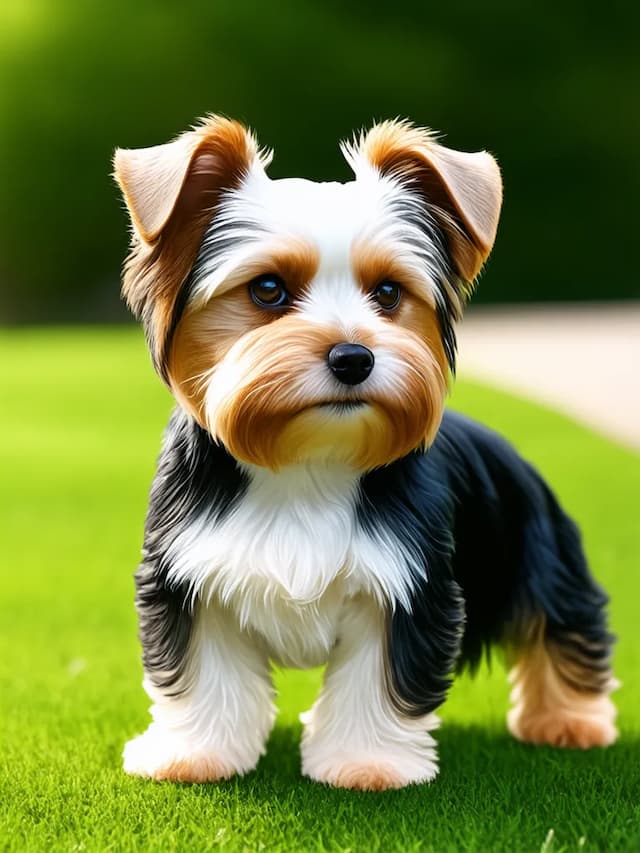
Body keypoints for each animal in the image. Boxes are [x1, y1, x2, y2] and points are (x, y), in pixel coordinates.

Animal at [112, 116, 616, 788]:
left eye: (388, 292)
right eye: (268, 290)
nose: (354, 357)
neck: (307, 461)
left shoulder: (407, 583)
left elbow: (377, 680)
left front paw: (365, 763)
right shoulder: (189, 572)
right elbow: (202, 671)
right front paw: (194, 755)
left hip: (537, 543)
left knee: (561, 620)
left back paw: (569, 721)